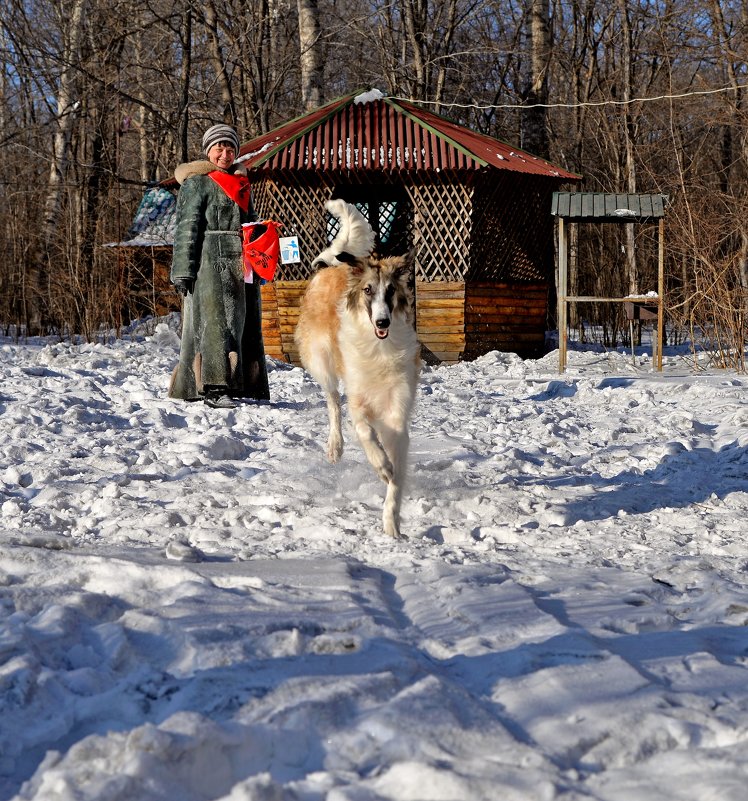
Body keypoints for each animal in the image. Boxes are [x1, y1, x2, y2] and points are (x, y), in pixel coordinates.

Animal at [294, 199, 420, 536]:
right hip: (322, 362)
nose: (382, 322)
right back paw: (335, 447)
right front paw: (381, 466)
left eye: (391, 291)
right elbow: (364, 432)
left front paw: (392, 522)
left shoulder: (396, 415)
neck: (379, 350)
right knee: (332, 404)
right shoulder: (359, 400)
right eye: (368, 290)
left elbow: (396, 478)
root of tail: (330, 267)